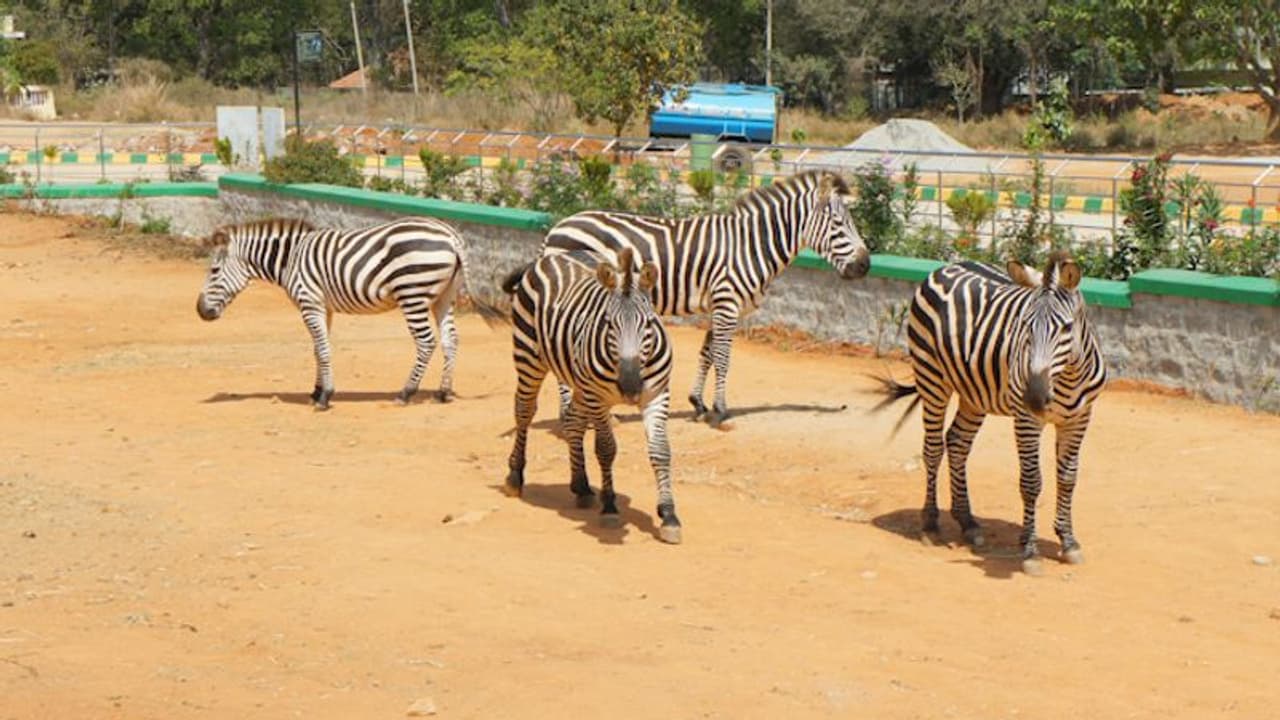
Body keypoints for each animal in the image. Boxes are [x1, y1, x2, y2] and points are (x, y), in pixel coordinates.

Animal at [196, 216, 480, 410]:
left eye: (214, 271)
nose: (200, 311)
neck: (290, 260)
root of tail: (450, 235)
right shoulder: (324, 307)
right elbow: (318, 348)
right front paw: (316, 390)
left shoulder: (310, 303)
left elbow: (322, 349)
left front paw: (325, 396)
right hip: (444, 297)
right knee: (450, 340)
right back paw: (443, 392)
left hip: (412, 294)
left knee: (426, 342)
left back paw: (406, 392)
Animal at [498, 246, 681, 543]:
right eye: (608, 323)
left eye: (649, 323)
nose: (630, 386)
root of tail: (549, 256)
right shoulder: (598, 397)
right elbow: (606, 449)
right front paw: (609, 507)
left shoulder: (656, 394)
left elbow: (661, 451)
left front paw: (668, 515)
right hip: (529, 355)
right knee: (524, 410)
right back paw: (515, 476)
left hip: (579, 381)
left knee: (572, 421)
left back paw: (581, 485)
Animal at [531, 169, 871, 427]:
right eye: (839, 224)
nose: (865, 266)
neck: (752, 246)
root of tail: (557, 227)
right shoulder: (727, 302)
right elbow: (722, 357)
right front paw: (720, 411)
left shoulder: (718, 305)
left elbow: (707, 353)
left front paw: (698, 404)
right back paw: (573, 415)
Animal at [874, 251, 1107, 575]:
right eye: (1025, 325)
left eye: (1066, 328)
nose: (1035, 397)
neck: (1068, 378)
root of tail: (947, 266)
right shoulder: (1026, 420)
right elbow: (1031, 482)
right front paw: (1030, 551)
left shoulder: (1079, 419)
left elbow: (1068, 478)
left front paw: (1068, 541)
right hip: (932, 378)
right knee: (933, 448)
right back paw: (931, 523)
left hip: (974, 394)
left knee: (957, 443)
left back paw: (968, 522)